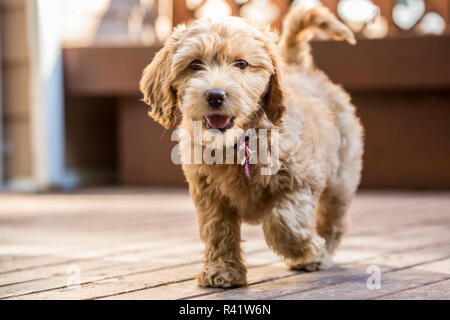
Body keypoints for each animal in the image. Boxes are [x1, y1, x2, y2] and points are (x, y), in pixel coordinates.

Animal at [139, 5, 364, 288]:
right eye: (195, 64)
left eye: (242, 64)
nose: (215, 95)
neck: (237, 142)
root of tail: (298, 68)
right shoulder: (209, 194)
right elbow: (217, 230)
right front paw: (222, 270)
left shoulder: (301, 179)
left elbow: (283, 222)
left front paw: (308, 249)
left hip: (341, 177)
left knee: (335, 218)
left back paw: (320, 255)